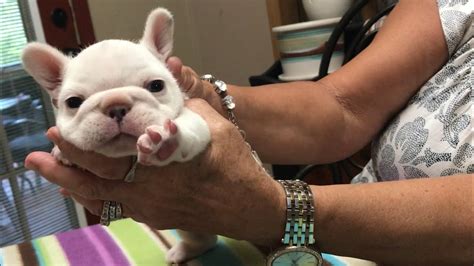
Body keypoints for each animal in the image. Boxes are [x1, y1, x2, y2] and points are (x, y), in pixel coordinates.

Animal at [20, 7, 217, 264]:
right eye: (73, 102)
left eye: (156, 86)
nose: (116, 105)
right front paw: (61, 153)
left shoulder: (195, 117)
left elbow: (188, 127)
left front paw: (165, 141)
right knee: (204, 238)